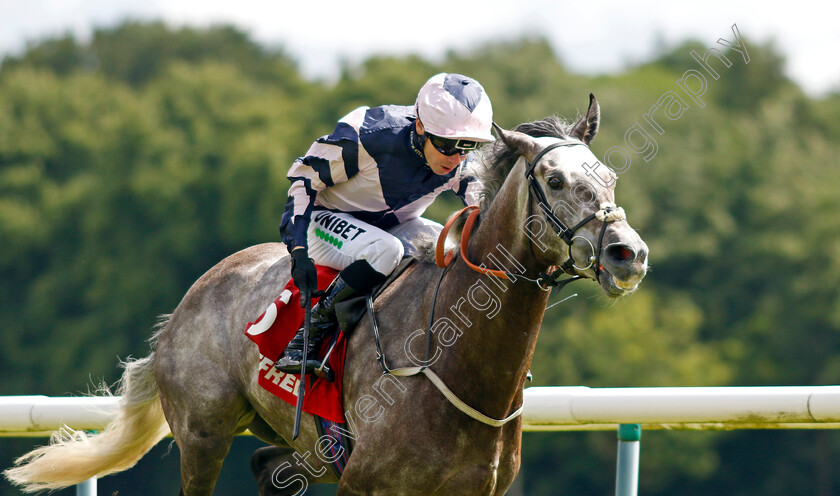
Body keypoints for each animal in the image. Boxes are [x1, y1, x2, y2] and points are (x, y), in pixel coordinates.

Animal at [3, 95, 648, 494]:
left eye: (611, 179)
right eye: (556, 180)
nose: (628, 254)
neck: (454, 364)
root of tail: (187, 302)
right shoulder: (364, 484)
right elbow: (309, 172)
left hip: (302, 451)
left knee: (268, 468)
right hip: (204, 435)